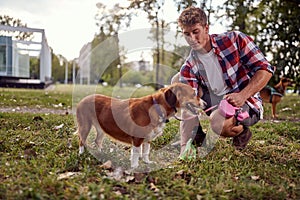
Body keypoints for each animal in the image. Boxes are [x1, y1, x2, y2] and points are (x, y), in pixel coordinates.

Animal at [75, 82, 204, 168]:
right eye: (193, 94)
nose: (205, 103)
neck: (157, 107)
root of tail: (83, 99)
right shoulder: (137, 139)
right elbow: (136, 154)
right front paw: (135, 166)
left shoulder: (148, 139)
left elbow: (146, 152)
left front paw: (147, 162)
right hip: (85, 126)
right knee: (81, 141)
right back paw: (81, 154)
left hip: (101, 128)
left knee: (97, 140)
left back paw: (101, 153)